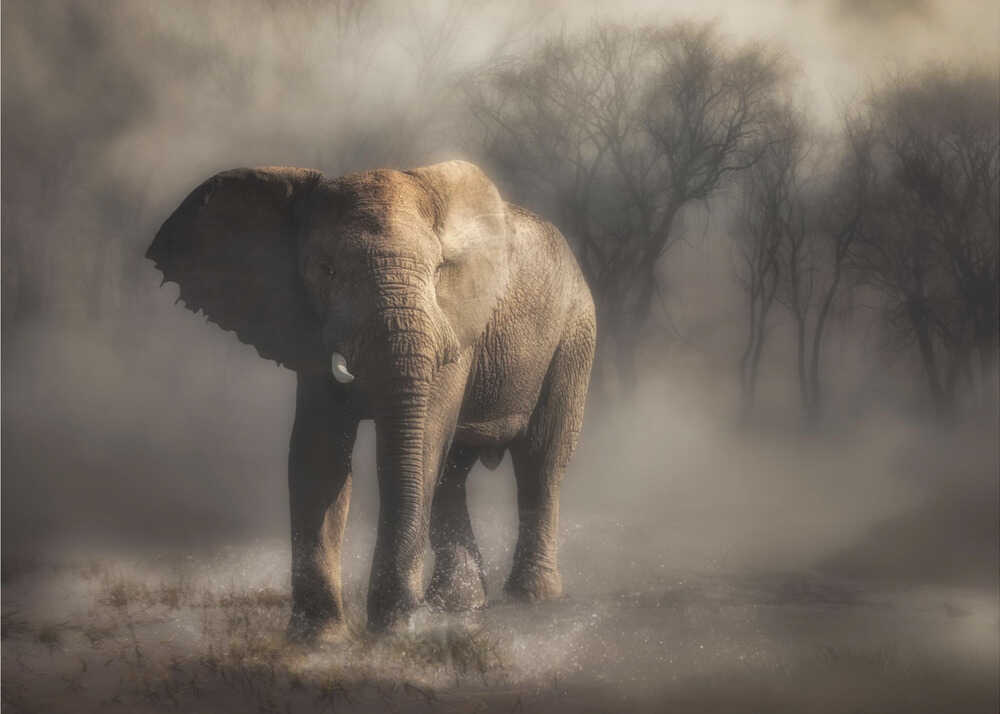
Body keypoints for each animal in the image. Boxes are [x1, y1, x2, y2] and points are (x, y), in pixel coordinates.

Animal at [147, 160, 596, 639]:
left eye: (438, 270)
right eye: (326, 270)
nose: (406, 612)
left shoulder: (451, 326)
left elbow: (421, 445)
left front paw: (393, 630)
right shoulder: (309, 329)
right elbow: (318, 456)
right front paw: (320, 640)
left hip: (574, 334)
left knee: (540, 459)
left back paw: (530, 598)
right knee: (453, 473)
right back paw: (456, 606)